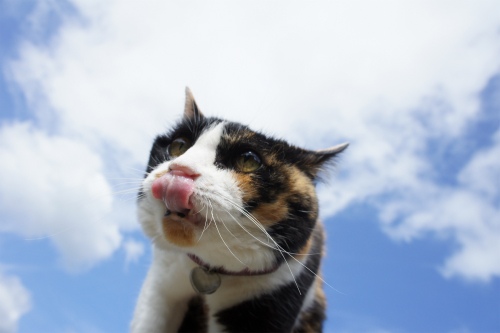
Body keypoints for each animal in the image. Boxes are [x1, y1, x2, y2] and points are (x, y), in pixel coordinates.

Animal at [130, 88, 348, 332]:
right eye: (179, 145)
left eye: (248, 160)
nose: (180, 170)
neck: (211, 269)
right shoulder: (160, 283)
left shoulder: (273, 297)